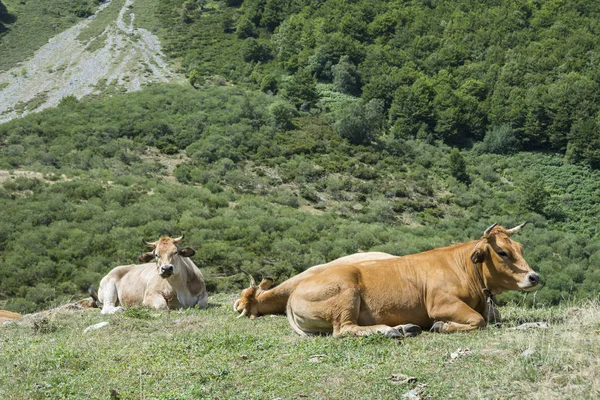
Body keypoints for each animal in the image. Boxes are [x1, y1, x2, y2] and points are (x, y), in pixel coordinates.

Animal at [286, 222, 540, 338]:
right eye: (502, 252)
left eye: (520, 248)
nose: (534, 276)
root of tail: (294, 292)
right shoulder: (440, 303)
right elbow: (478, 320)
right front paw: (442, 325)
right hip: (346, 293)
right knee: (344, 329)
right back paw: (389, 330)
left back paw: (405, 327)